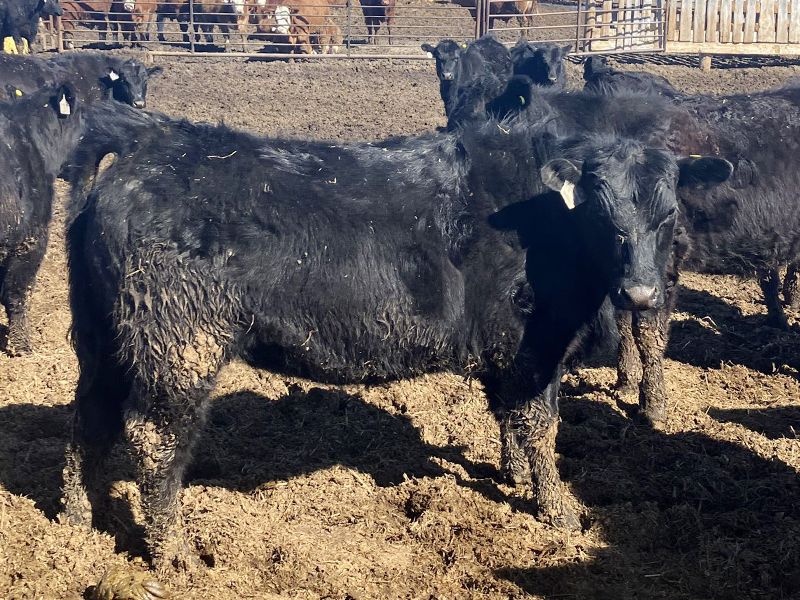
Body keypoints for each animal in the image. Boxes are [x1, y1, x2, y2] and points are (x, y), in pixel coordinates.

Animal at [61, 98, 730, 591]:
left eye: (668, 214)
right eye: (602, 214)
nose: (642, 293)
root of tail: (150, 142)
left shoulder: (510, 355)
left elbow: (510, 417)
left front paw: (512, 476)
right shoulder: (534, 344)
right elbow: (542, 425)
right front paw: (559, 510)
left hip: (102, 339)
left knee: (89, 420)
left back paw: (73, 522)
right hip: (179, 346)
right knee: (154, 438)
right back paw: (172, 554)